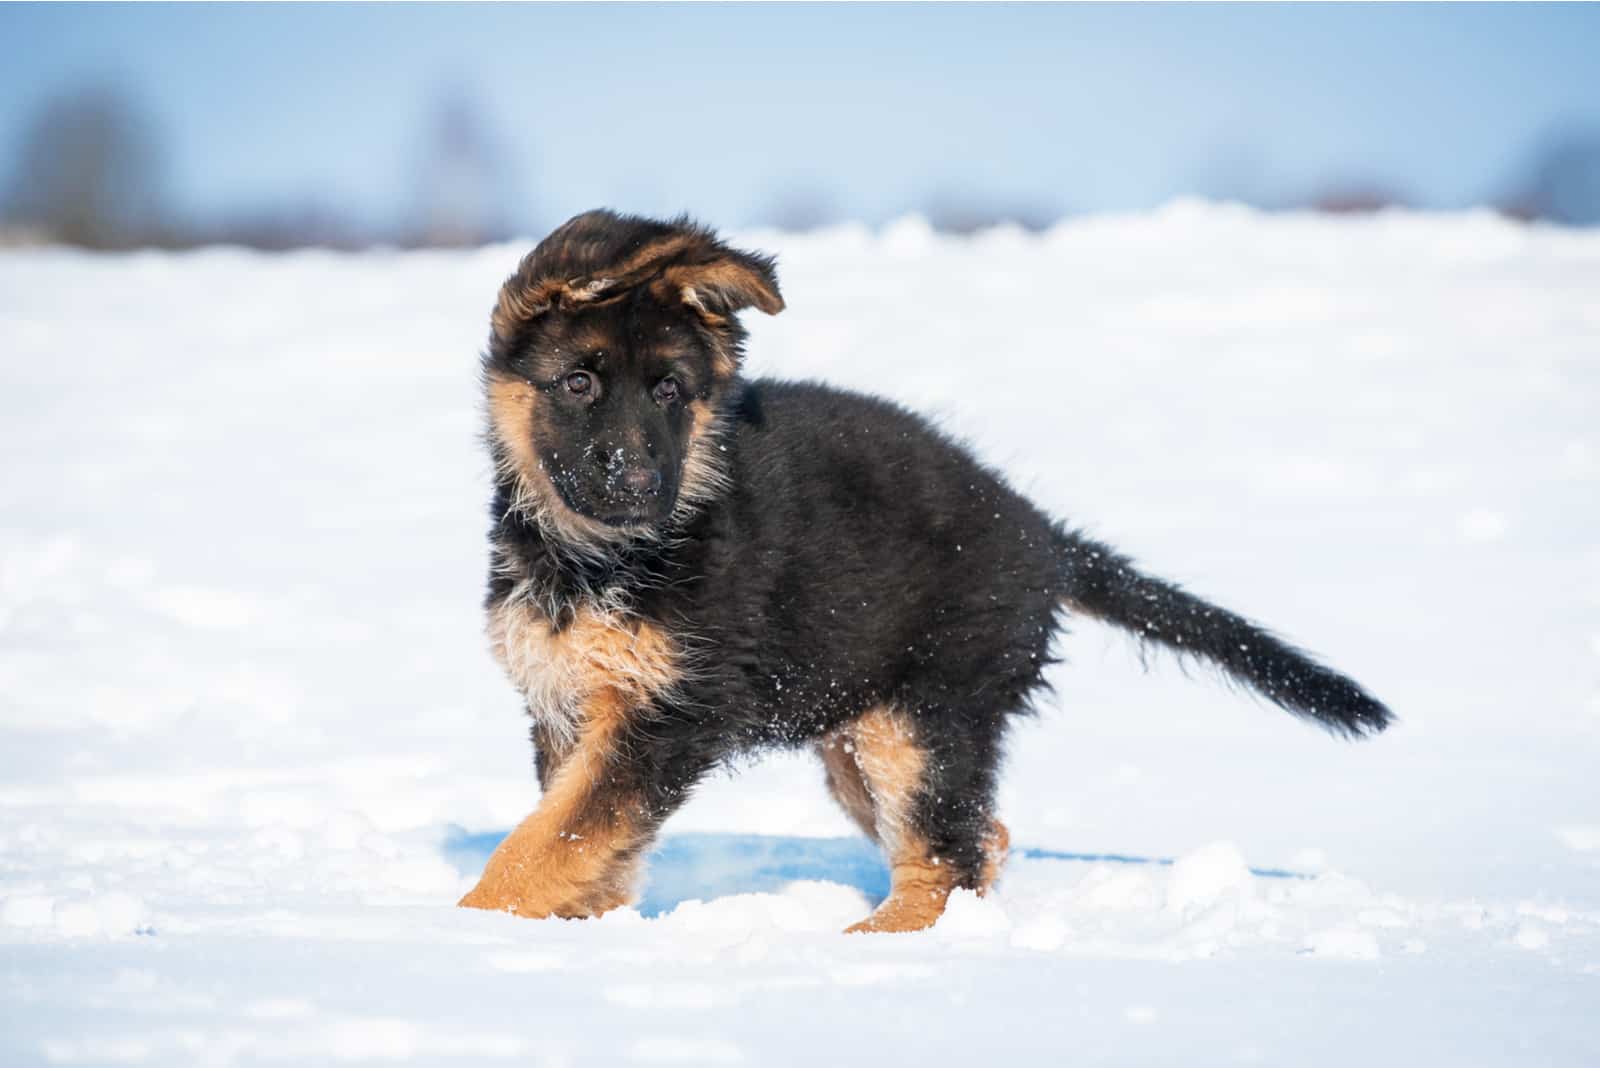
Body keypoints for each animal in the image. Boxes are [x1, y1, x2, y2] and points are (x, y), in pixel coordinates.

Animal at [460, 212, 1388, 927]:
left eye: (669, 393)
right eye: (577, 384)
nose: (639, 486)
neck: (598, 559)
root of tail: (1040, 533)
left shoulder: (668, 714)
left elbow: (550, 839)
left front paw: (471, 932)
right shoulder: (574, 706)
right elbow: (583, 838)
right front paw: (580, 932)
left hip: (924, 717)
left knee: (949, 856)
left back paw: (868, 949)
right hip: (864, 733)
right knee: (979, 842)